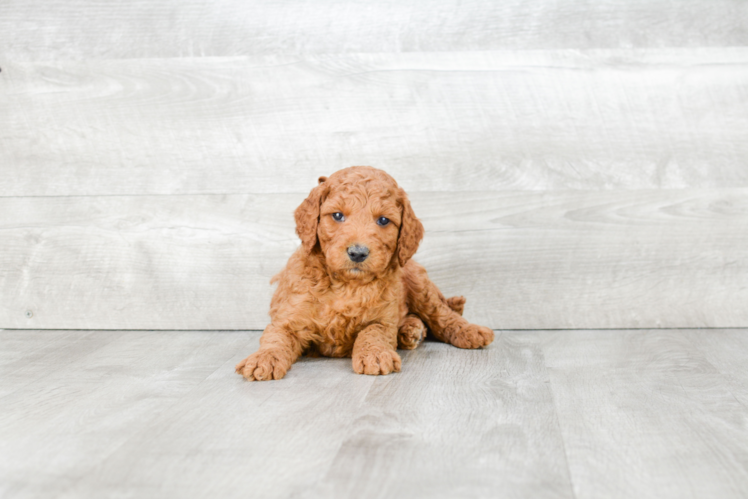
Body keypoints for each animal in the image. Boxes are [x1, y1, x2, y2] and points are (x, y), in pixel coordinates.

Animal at [238, 166, 496, 380]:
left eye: (383, 220)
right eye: (337, 215)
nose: (358, 253)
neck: (346, 285)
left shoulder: (381, 318)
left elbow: (373, 333)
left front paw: (375, 356)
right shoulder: (289, 317)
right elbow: (275, 338)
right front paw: (263, 360)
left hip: (418, 283)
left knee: (441, 314)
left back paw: (468, 331)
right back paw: (412, 330)